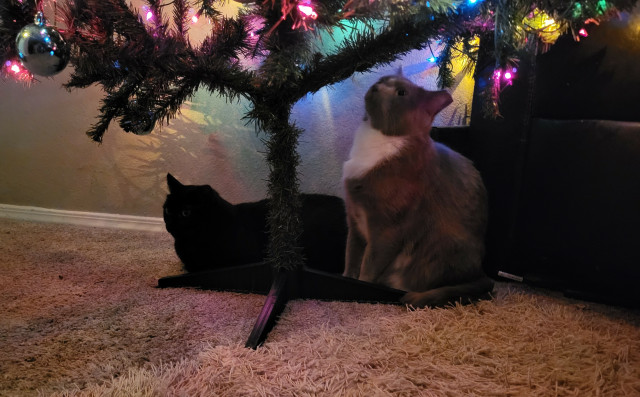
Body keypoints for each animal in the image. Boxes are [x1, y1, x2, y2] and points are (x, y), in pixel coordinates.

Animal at [342, 74, 492, 308]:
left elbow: (368, 268)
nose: (376, 87)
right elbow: (351, 259)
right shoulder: (354, 221)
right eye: (383, 79)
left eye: (401, 93)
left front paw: (359, 284)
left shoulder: (386, 231)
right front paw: (347, 278)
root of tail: (481, 272)